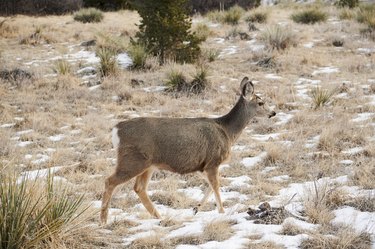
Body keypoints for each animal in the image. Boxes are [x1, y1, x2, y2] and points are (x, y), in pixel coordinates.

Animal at [100, 76, 276, 224]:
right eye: (261, 103)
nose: (273, 113)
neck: (226, 131)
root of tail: (116, 130)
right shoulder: (213, 161)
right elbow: (216, 187)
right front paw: (222, 212)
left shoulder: (203, 165)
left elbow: (211, 187)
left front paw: (196, 208)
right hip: (132, 160)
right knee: (110, 181)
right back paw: (103, 220)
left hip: (148, 165)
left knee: (139, 188)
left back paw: (158, 216)